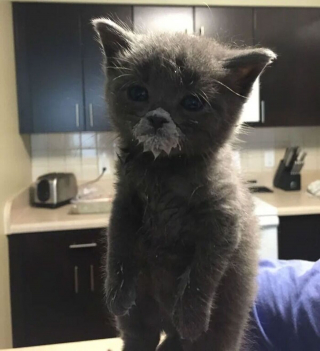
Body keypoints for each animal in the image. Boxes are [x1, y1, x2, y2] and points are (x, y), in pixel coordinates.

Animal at [92, 20, 276, 351]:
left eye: (192, 102)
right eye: (138, 92)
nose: (157, 117)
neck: (165, 169)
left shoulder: (224, 220)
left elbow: (202, 272)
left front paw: (190, 317)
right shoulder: (125, 200)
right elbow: (118, 243)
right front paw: (116, 295)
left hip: (224, 326)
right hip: (141, 318)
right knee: (139, 335)